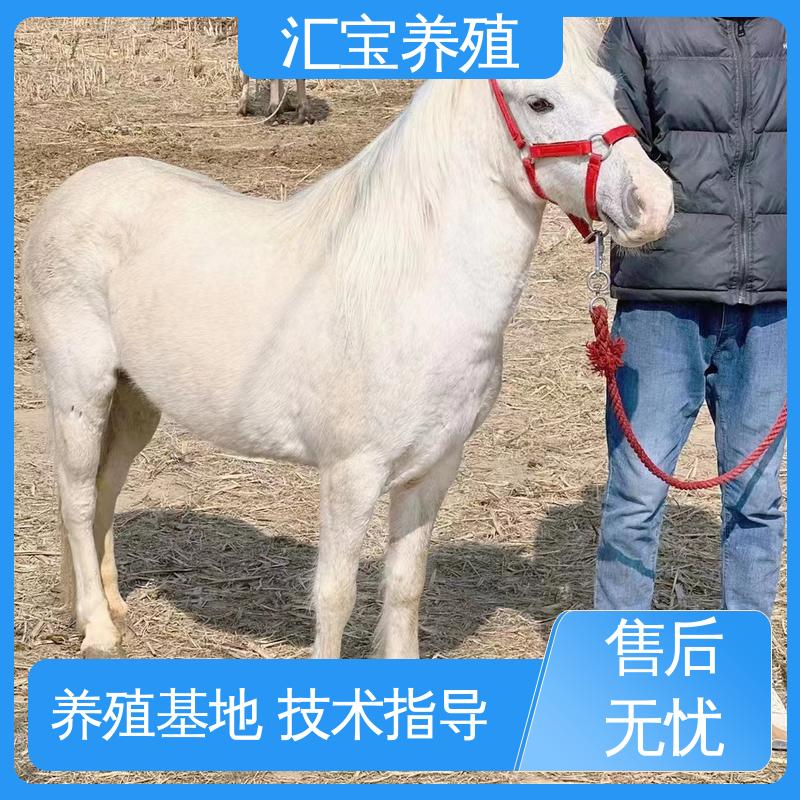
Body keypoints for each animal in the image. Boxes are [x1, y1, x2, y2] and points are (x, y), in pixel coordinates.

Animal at [20, 20, 673, 660]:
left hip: (136, 402)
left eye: (610, 89)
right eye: (540, 102)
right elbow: (335, 596)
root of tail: (70, 195)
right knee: (77, 497)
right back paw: (98, 631)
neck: (411, 292)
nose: (654, 202)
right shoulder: (351, 474)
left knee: (107, 487)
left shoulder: (432, 470)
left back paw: (112, 606)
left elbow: (405, 586)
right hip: (79, 390)